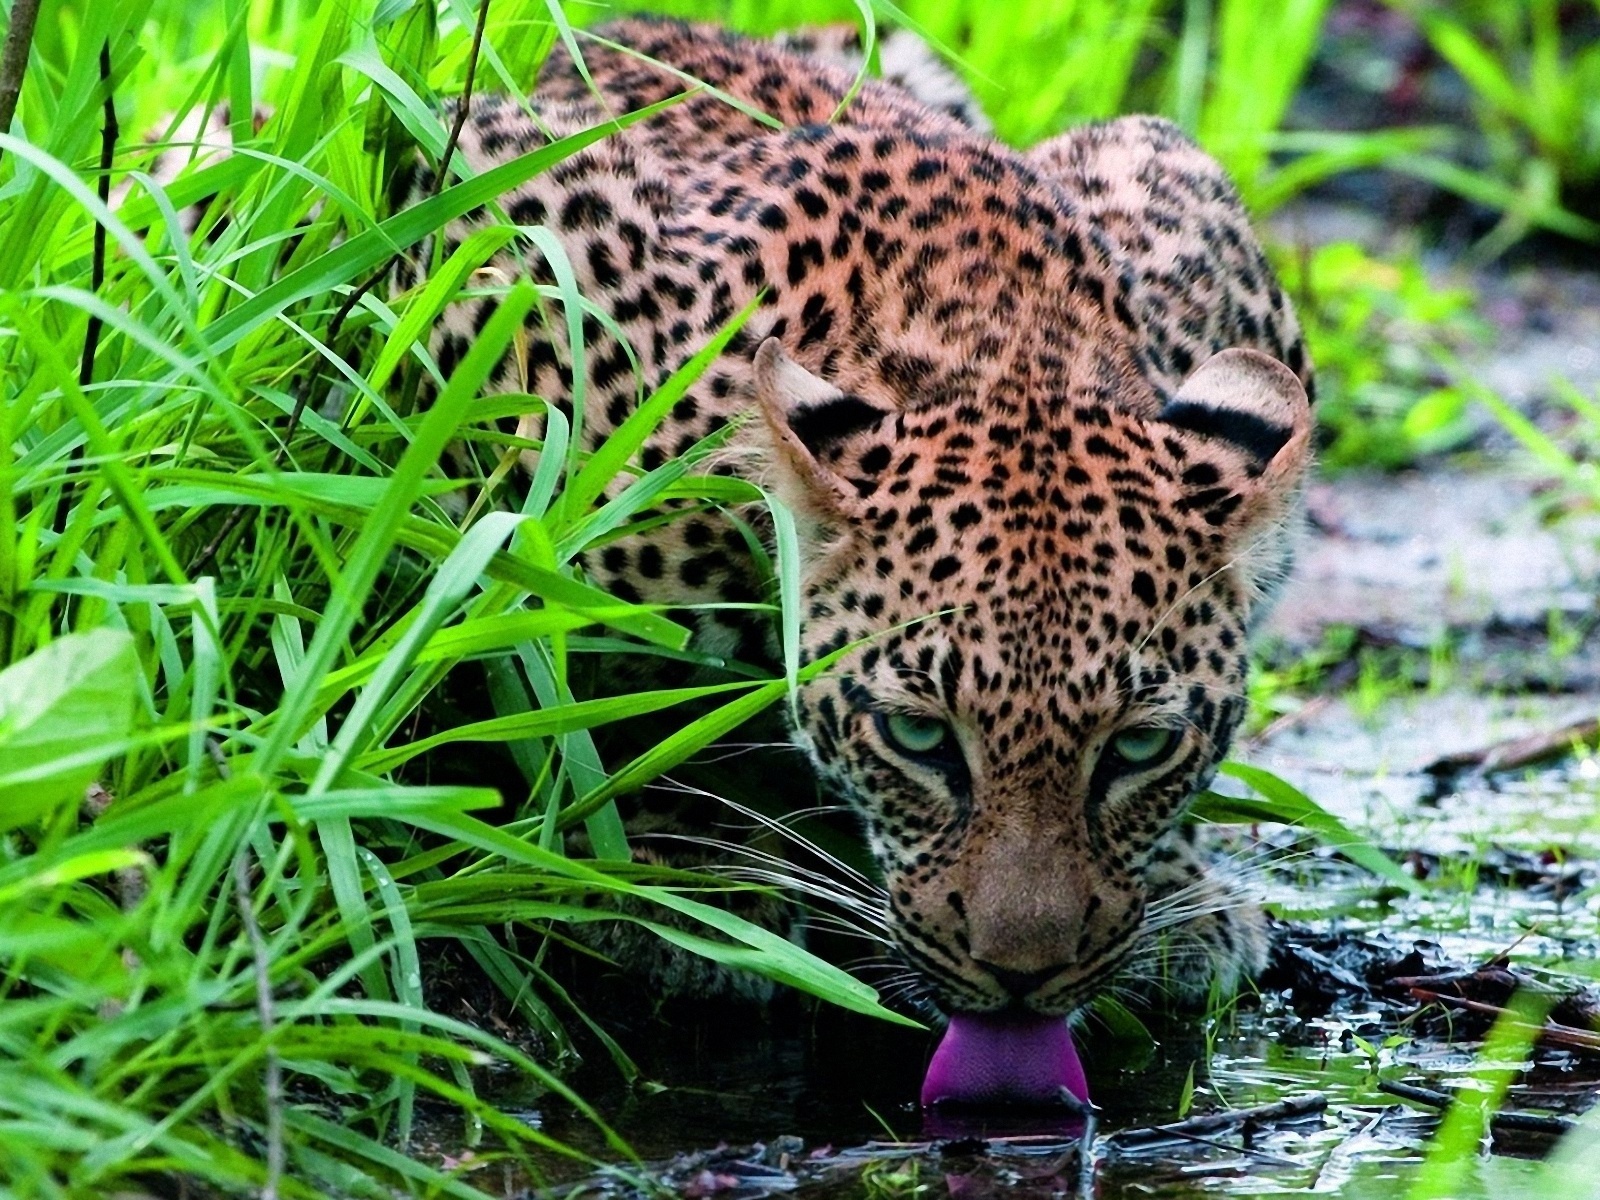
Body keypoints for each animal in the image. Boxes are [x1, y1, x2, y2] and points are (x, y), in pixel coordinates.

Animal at [400, 18, 1316, 1023]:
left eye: (1141, 747)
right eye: (918, 738)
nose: (1023, 979)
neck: (1003, 340)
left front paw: (1184, 897)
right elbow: (595, 687)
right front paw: (681, 877)